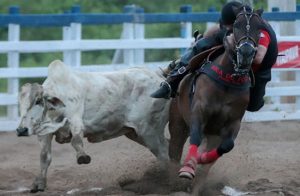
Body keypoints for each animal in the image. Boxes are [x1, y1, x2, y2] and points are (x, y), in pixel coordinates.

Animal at [17, 60, 170, 193]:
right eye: (20, 103)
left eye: (38, 101)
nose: (21, 130)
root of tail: (158, 76)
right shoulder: (44, 134)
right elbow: (44, 157)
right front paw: (39, 184)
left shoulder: (76, 121)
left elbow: (76, 141)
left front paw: (82, 157)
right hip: (136, 133)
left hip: (149, 131)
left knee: (163, 152)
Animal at [169, 6, 264, 194]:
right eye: (236, 25)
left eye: (259, 28)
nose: (246, 52)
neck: (228, 80)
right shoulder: (199, 111)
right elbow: (195, 136)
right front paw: (188, 167)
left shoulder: (233, 123)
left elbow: (227, 146)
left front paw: (200, 159)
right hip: (177, 125)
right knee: (174, 151)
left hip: (212, 135)